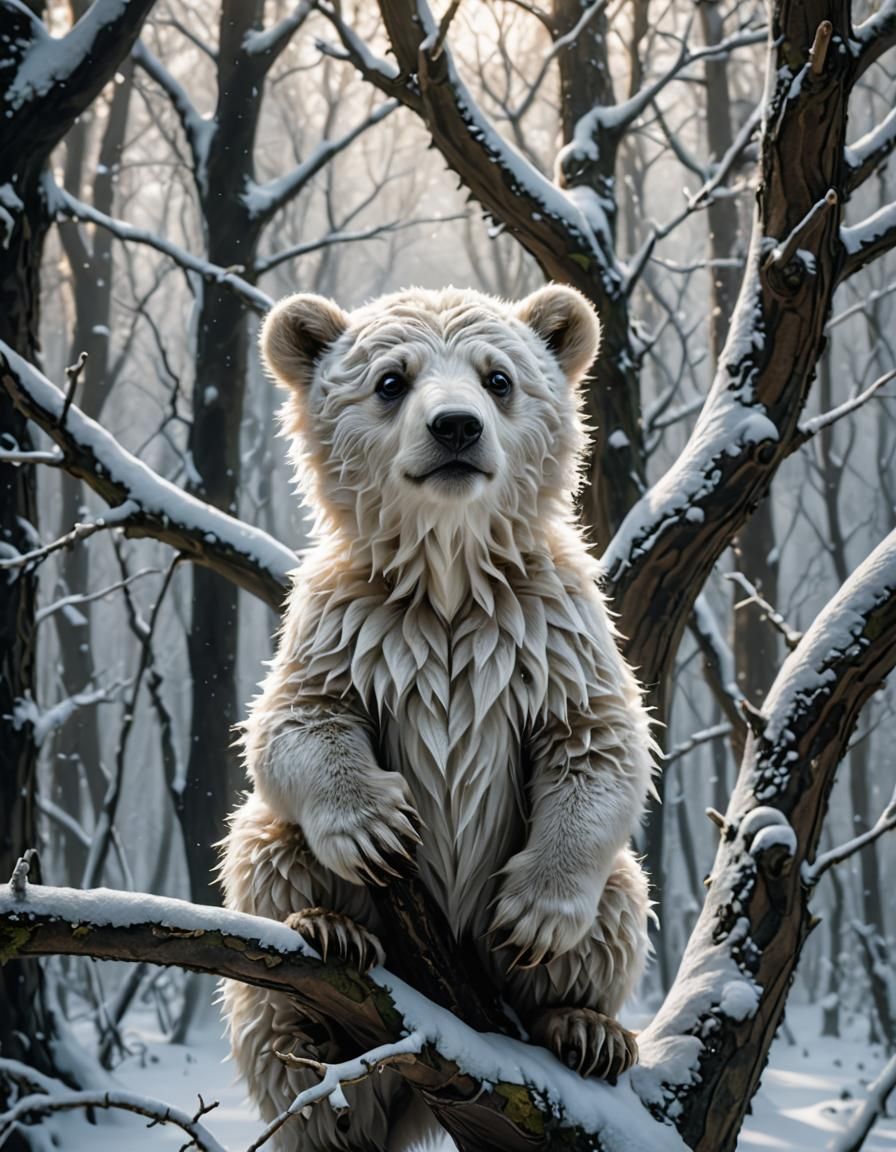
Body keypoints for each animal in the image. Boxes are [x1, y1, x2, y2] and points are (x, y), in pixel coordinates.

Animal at [220, 285, 656, 1151]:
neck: (448, 579)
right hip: (276, 923)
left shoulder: (549, 626)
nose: (456, 427)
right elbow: (293, 721)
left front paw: (535, 916)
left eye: (499, 378)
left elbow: (599, 741)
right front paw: (375, 830)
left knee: (621, 900)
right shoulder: (345, 621)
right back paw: (329, 959)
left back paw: (585, 1029)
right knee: (264, 865)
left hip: (592, 916)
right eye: (392, 380)